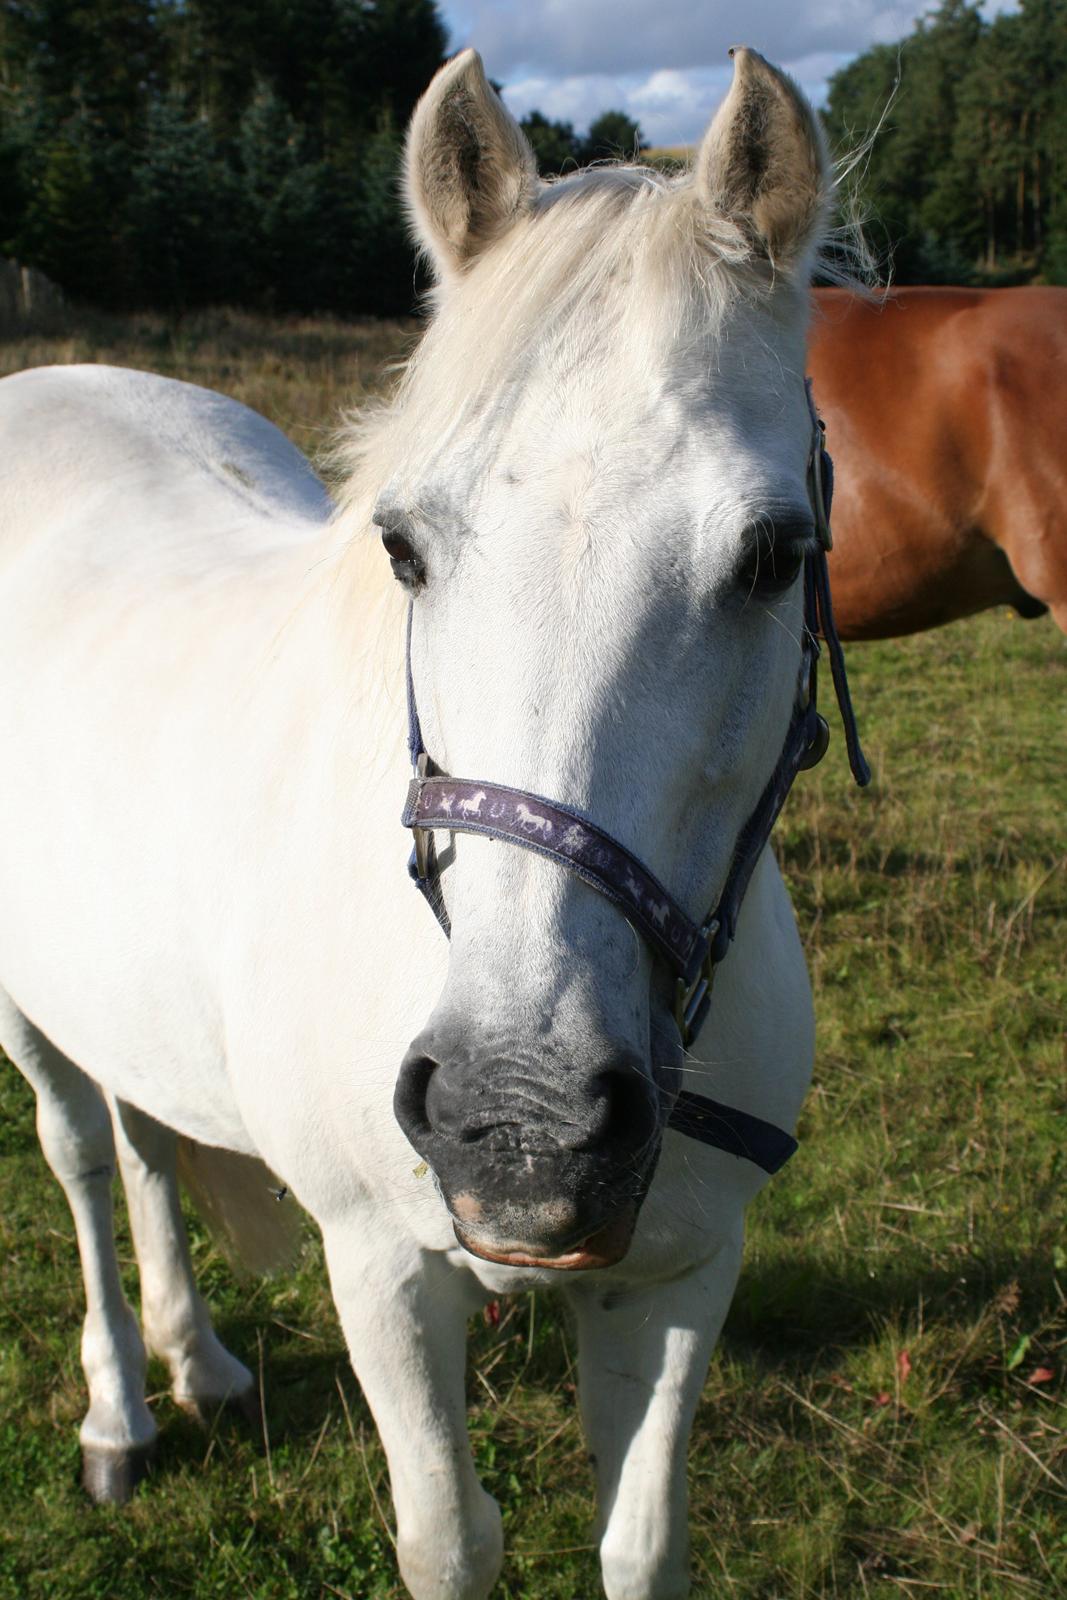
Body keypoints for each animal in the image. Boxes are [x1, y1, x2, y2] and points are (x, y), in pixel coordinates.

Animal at [0, 46, 831, 1600]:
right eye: (402, 546)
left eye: (772, 555)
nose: (521, 1120)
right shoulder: (379, 1268)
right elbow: (446, 1540)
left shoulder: (685, 1272)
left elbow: (642, 1545)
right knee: (78, 1152)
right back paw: (117, 1414)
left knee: (143, 1137)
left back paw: (198, 1362)